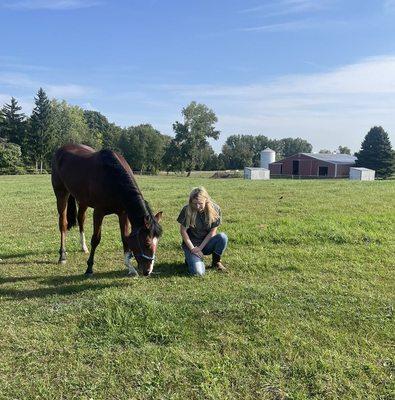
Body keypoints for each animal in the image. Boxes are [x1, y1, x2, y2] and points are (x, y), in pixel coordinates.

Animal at [51, 145, 162, 278]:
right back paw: (62, 255)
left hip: (82, 200)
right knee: (63, 223)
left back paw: (83, 247)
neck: (112, 177)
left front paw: (130, 269)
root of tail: (61, 149)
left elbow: (125, 238)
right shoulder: (98, 212)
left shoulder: (123, 214)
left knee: (81, 219)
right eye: (147, 243)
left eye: (157, 243)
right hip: (61, 194)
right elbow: (95, 239)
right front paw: (89, 268)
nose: (148, 271)